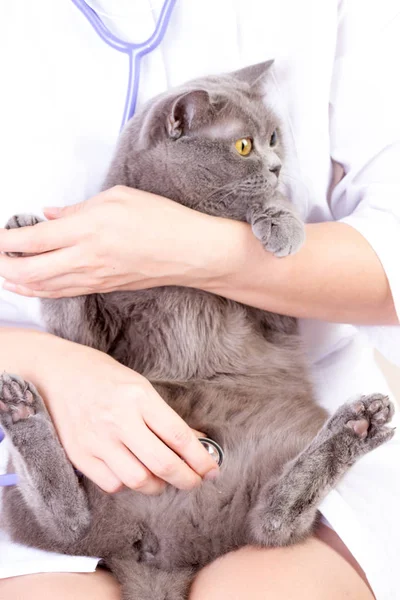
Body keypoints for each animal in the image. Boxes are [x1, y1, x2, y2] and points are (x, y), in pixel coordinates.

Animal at [0, 62, 394, 600]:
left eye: (274, 137)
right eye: (244, 146)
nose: (277, 165)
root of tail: (161, 548)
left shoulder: (275, 319)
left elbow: (261, 214)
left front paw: (280, 222)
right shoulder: (96, 335)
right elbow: (73, 318)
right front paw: (31, 237)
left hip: (274, 465)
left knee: (273, 523)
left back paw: (358, 425)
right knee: (69, 523)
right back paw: (21, 410)